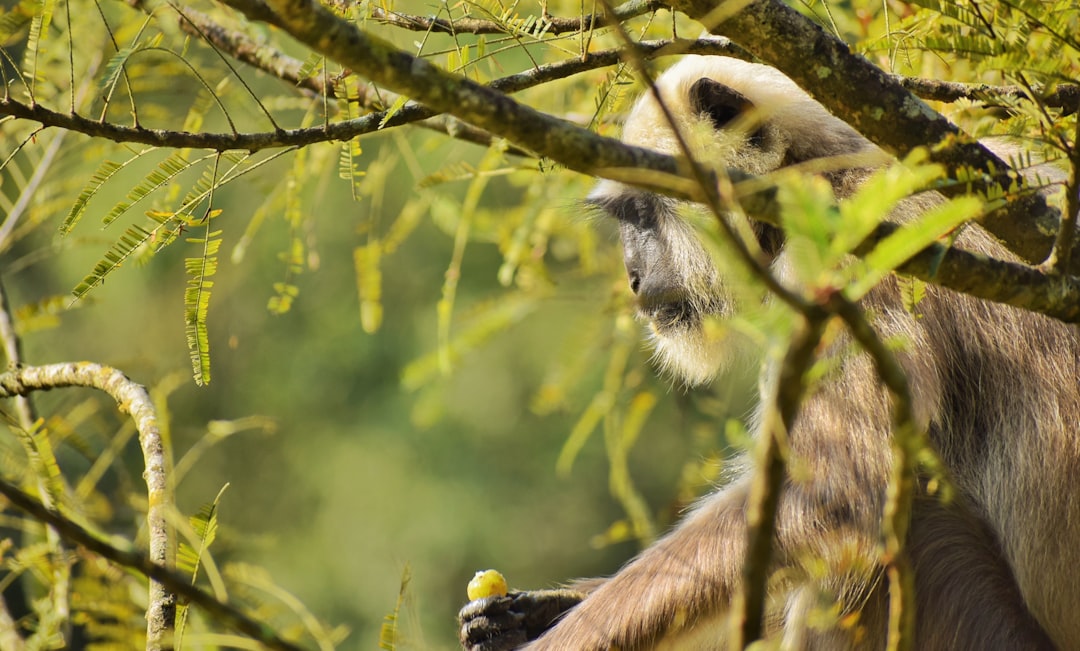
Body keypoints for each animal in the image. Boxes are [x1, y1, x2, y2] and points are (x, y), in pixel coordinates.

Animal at [457, 57, 1080, 651]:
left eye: (642, 214)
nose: (633, 276)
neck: (832, 171)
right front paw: (535, 613)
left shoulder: (845, 260)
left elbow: (830, 494)